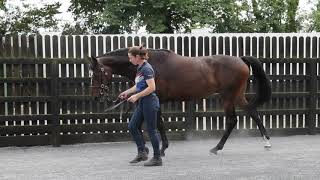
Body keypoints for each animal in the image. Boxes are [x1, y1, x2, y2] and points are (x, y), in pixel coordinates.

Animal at [89, 47, 272, 155]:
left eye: (97, 73)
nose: (96, 96)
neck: (150, 63)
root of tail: (240, 59)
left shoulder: (157, 99)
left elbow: (158, 123)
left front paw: (162, 149)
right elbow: (142, 123)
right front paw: (148, 149)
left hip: (228, 96)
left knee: (232, 120)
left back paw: (217, 147)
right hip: (237, 96)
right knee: (253, 112)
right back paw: (266, 142)